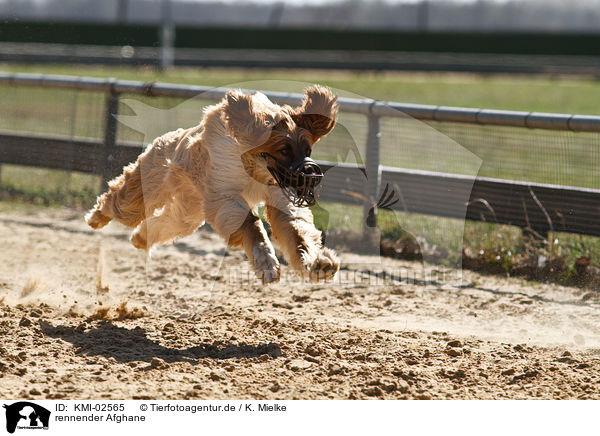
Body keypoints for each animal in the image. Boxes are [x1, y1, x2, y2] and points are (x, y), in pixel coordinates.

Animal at [85, 86, 340, 282]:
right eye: (284, 150)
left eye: (308, 150)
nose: (310, 175)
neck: (253, 169)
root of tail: (164, 138)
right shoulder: (224, 195)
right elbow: (251, 224)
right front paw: (267, 264)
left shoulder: (279, 195)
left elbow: (295, 229)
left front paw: (319, 264)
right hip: (149, 183)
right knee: (122, 204)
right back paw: (96, 217)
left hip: (188, 214)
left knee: (166, 223)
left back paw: (140, 238)